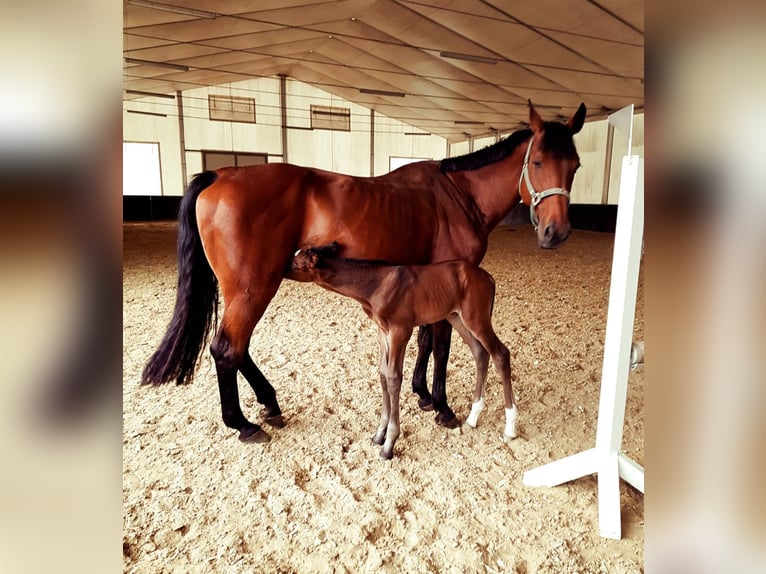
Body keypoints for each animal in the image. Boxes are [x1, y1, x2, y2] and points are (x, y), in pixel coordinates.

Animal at [290, 242, 517, 459]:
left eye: (296, 264)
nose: (283, 268)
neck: (377, 285)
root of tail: (487, 277)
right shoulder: (383, 331)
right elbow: (383, 374)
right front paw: (379, 435)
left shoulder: (401, 330)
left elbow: (394, 378)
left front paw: (389, 443)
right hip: (457, 317)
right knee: (480, 353)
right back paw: (472, 417)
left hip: (476, 319)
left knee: (500, 354)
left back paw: (510, 427)